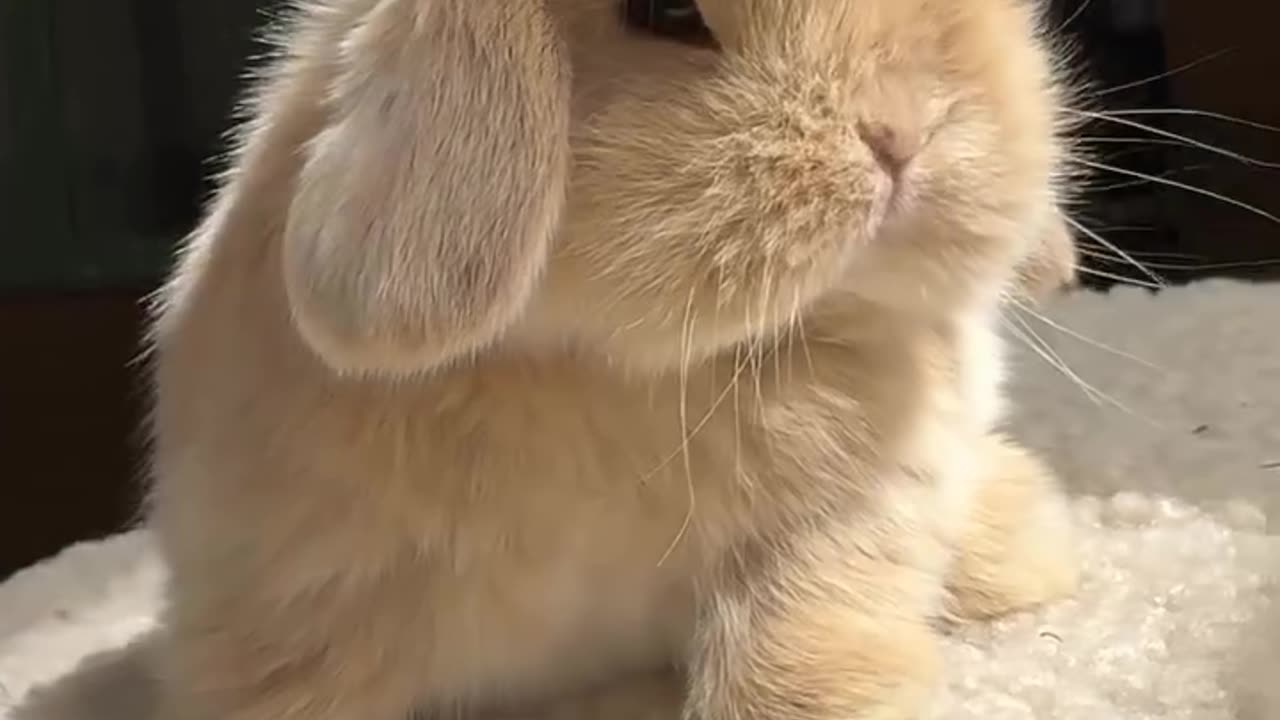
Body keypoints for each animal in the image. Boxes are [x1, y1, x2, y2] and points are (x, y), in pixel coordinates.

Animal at [143, 0, 1082, 719]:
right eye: (663, 10)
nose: (900, 134)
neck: (643, 372)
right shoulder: (301, 614)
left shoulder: (850, 516)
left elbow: (803, 644)